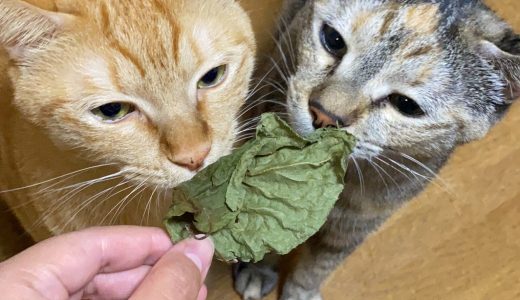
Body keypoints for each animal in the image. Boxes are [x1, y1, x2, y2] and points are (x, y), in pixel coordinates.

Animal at [236, 0, 520, 300]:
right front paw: (259, 268)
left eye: (405, 104)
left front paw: (301, 292)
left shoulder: (357, 227)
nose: (324, 115)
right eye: (333, 40)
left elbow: (318, 266)